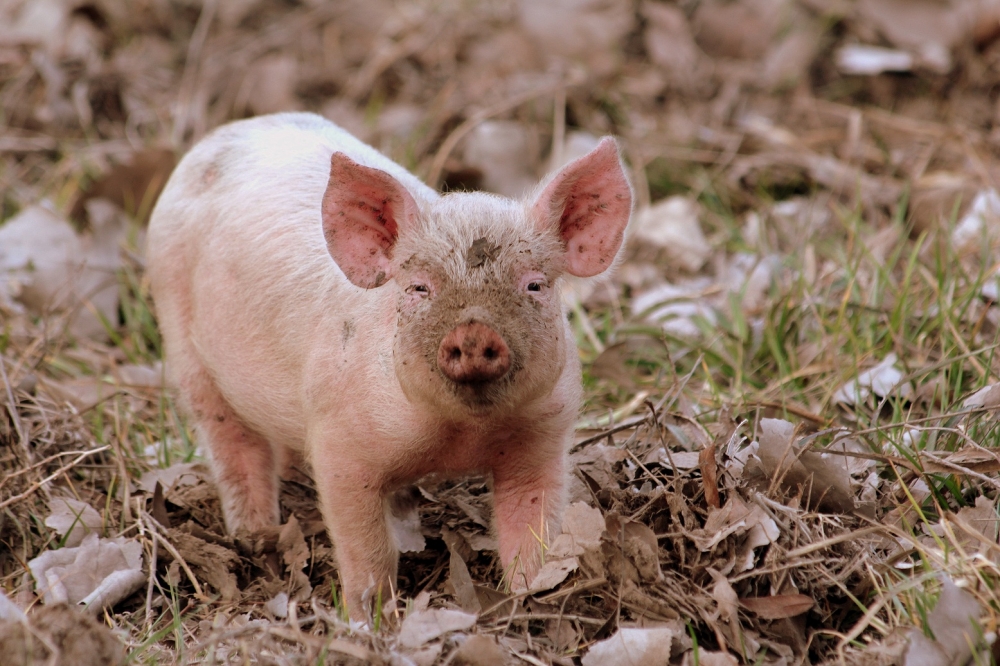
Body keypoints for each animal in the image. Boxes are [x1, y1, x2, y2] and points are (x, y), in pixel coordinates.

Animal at [146, 111, 632, 616]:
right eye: (419, 288)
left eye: (534, 285)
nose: (474, 332)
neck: (461, 437)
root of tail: (229, 131)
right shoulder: (338, 440)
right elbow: (365, 545)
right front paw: (372, 618)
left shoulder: (544, 434)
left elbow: (532, 528)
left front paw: (531, 598)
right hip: (180, 336)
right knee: (231, 441)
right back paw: (255, 534)